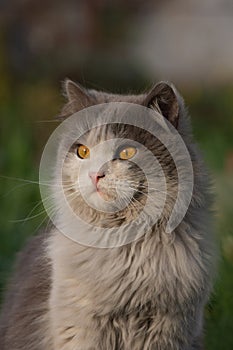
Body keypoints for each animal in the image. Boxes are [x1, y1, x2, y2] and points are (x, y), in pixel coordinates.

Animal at [0, 80, 216, 348]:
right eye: (83, 152)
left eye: (126, 153)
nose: (95, 175)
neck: (124, 250)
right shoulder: (83, 330)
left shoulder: (167, 329)